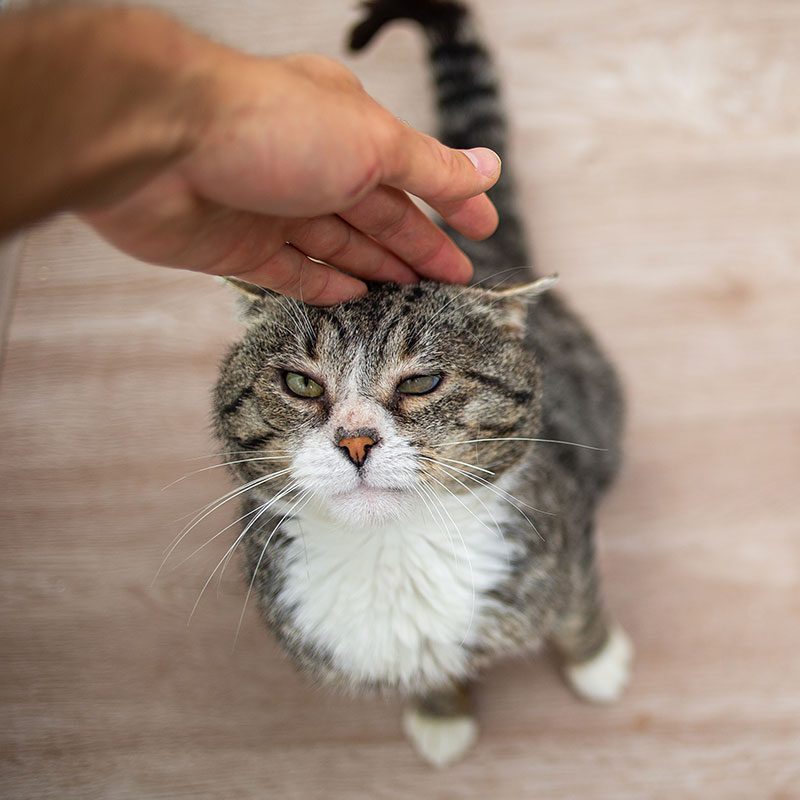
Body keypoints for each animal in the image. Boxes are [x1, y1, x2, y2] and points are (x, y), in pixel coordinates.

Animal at [211, 0, 632, 768]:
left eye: (423, 382)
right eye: (300, 384)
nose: (354, 441)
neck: (393, 551)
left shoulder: (565, 528)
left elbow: (578, 606)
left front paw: (596, 662)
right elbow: (426, 674)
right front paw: (442, 712)